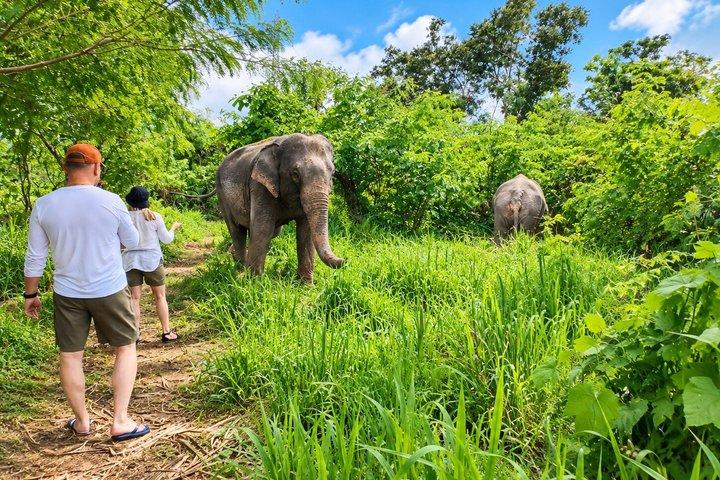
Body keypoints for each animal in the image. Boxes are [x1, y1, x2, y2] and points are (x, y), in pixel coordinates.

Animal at [216, 133, 345, 283]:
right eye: (295, 173)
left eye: (333, 172)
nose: (345, 259)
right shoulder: (260, 185)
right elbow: (263, 229)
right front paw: (255, 283)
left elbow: (305, 232)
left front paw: (306, 285)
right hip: (222, 195)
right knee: (237, 230)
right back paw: (241, 268)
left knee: (269, 231)